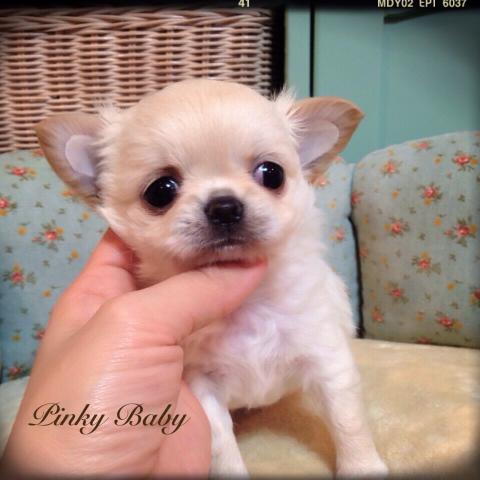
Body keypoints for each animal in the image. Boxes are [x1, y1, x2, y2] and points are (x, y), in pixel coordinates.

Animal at [35, 79, 388, 477]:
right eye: (161, 190)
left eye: (272, 174)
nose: (224, 206)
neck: (249, 306)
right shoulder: (202, 389)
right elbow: (222, 447)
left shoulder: (327, 359)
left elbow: (348, 421)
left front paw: (362, 466)